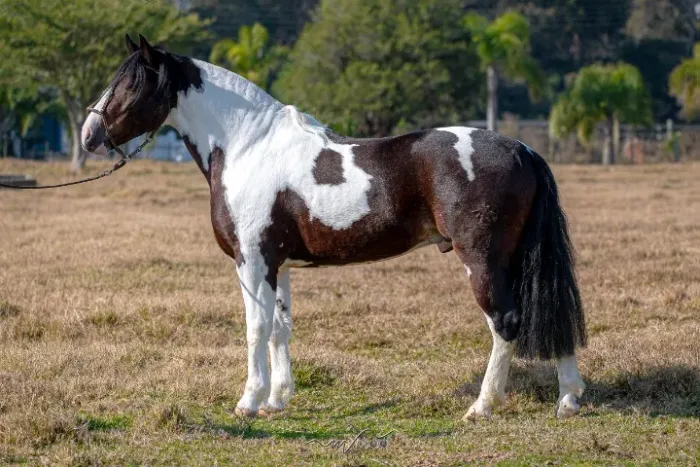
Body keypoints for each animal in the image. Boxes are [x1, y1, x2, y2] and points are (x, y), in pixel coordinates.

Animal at [81, 34, 587, 421]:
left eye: (130, 83)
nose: (89, 135)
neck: (248, 145)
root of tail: (523, 149)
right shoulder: (279, 265)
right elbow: (280, 328)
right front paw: (278, 400)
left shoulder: (252, 263)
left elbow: (254, 329)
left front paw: (249, 402)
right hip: (519, 259)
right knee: (550, 314)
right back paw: (567, 400)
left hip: (482, 261)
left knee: (506, 323)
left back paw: (481, 407)